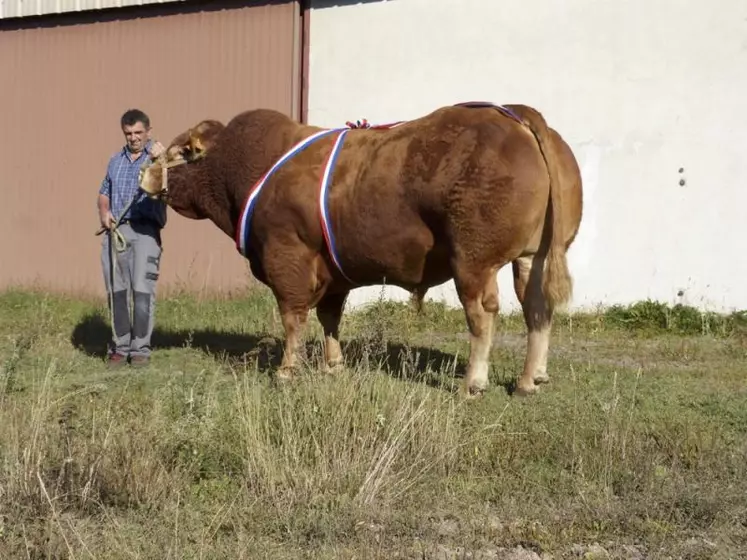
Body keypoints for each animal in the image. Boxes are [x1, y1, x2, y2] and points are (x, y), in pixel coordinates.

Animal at [140, 101, 584, 398]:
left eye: (181, 152)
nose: (145, 174)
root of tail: (514, 114)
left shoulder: (286, 257)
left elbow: (293, 317)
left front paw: (287, 370)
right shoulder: (331, 271)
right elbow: (329, 317)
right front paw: (332, 365)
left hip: (473, 261)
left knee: (482, 314)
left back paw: (473, 382)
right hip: (533, 256)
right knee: (536, 307)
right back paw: (530, 379)